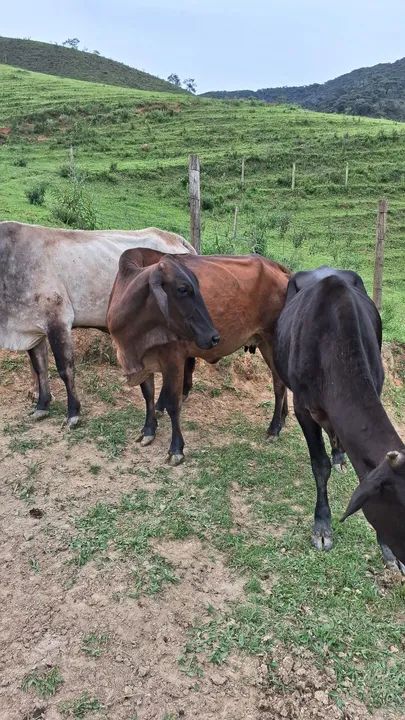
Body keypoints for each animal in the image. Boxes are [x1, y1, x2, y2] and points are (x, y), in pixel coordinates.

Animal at [0, 221, 195, 427]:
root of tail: (176, 239)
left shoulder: (58, 320)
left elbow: (65, 369)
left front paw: (73, 412)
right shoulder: (32, 326)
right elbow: (40, 367)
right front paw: (42, 405)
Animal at [108, 249, 291, 465]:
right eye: (182, 289)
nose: (213, 337)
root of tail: (279, 268)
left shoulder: (174, 359)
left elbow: (173, 404)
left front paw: (176, 449)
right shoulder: (143, 361)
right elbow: (148, 395)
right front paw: (148, 431)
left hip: (270, 340)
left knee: (279, 385)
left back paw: (274, 428)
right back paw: (283, 419)